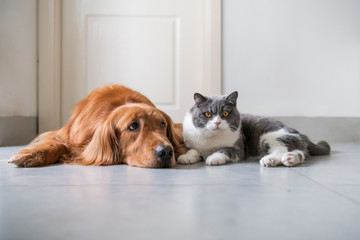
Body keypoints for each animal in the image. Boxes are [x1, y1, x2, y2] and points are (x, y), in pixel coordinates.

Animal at [8, 85, 186, 168]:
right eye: (133, 126)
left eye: (162, 124)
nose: (166, 151)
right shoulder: (64, 134)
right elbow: (56, 144)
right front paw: (28, 155)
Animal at [176, 91, 330, 168]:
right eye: (208, 114)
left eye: (225, 113)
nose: (217, 122)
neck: (211, 140)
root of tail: (300, 134)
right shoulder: (192, 143)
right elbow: (193, 150)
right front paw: (186, 157)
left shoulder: (238, 149)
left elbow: (225, 150)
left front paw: (213, 158)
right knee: (301, 152)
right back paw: (289, 159)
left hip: (271, 136)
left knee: (284, 149)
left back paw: (272, 160)